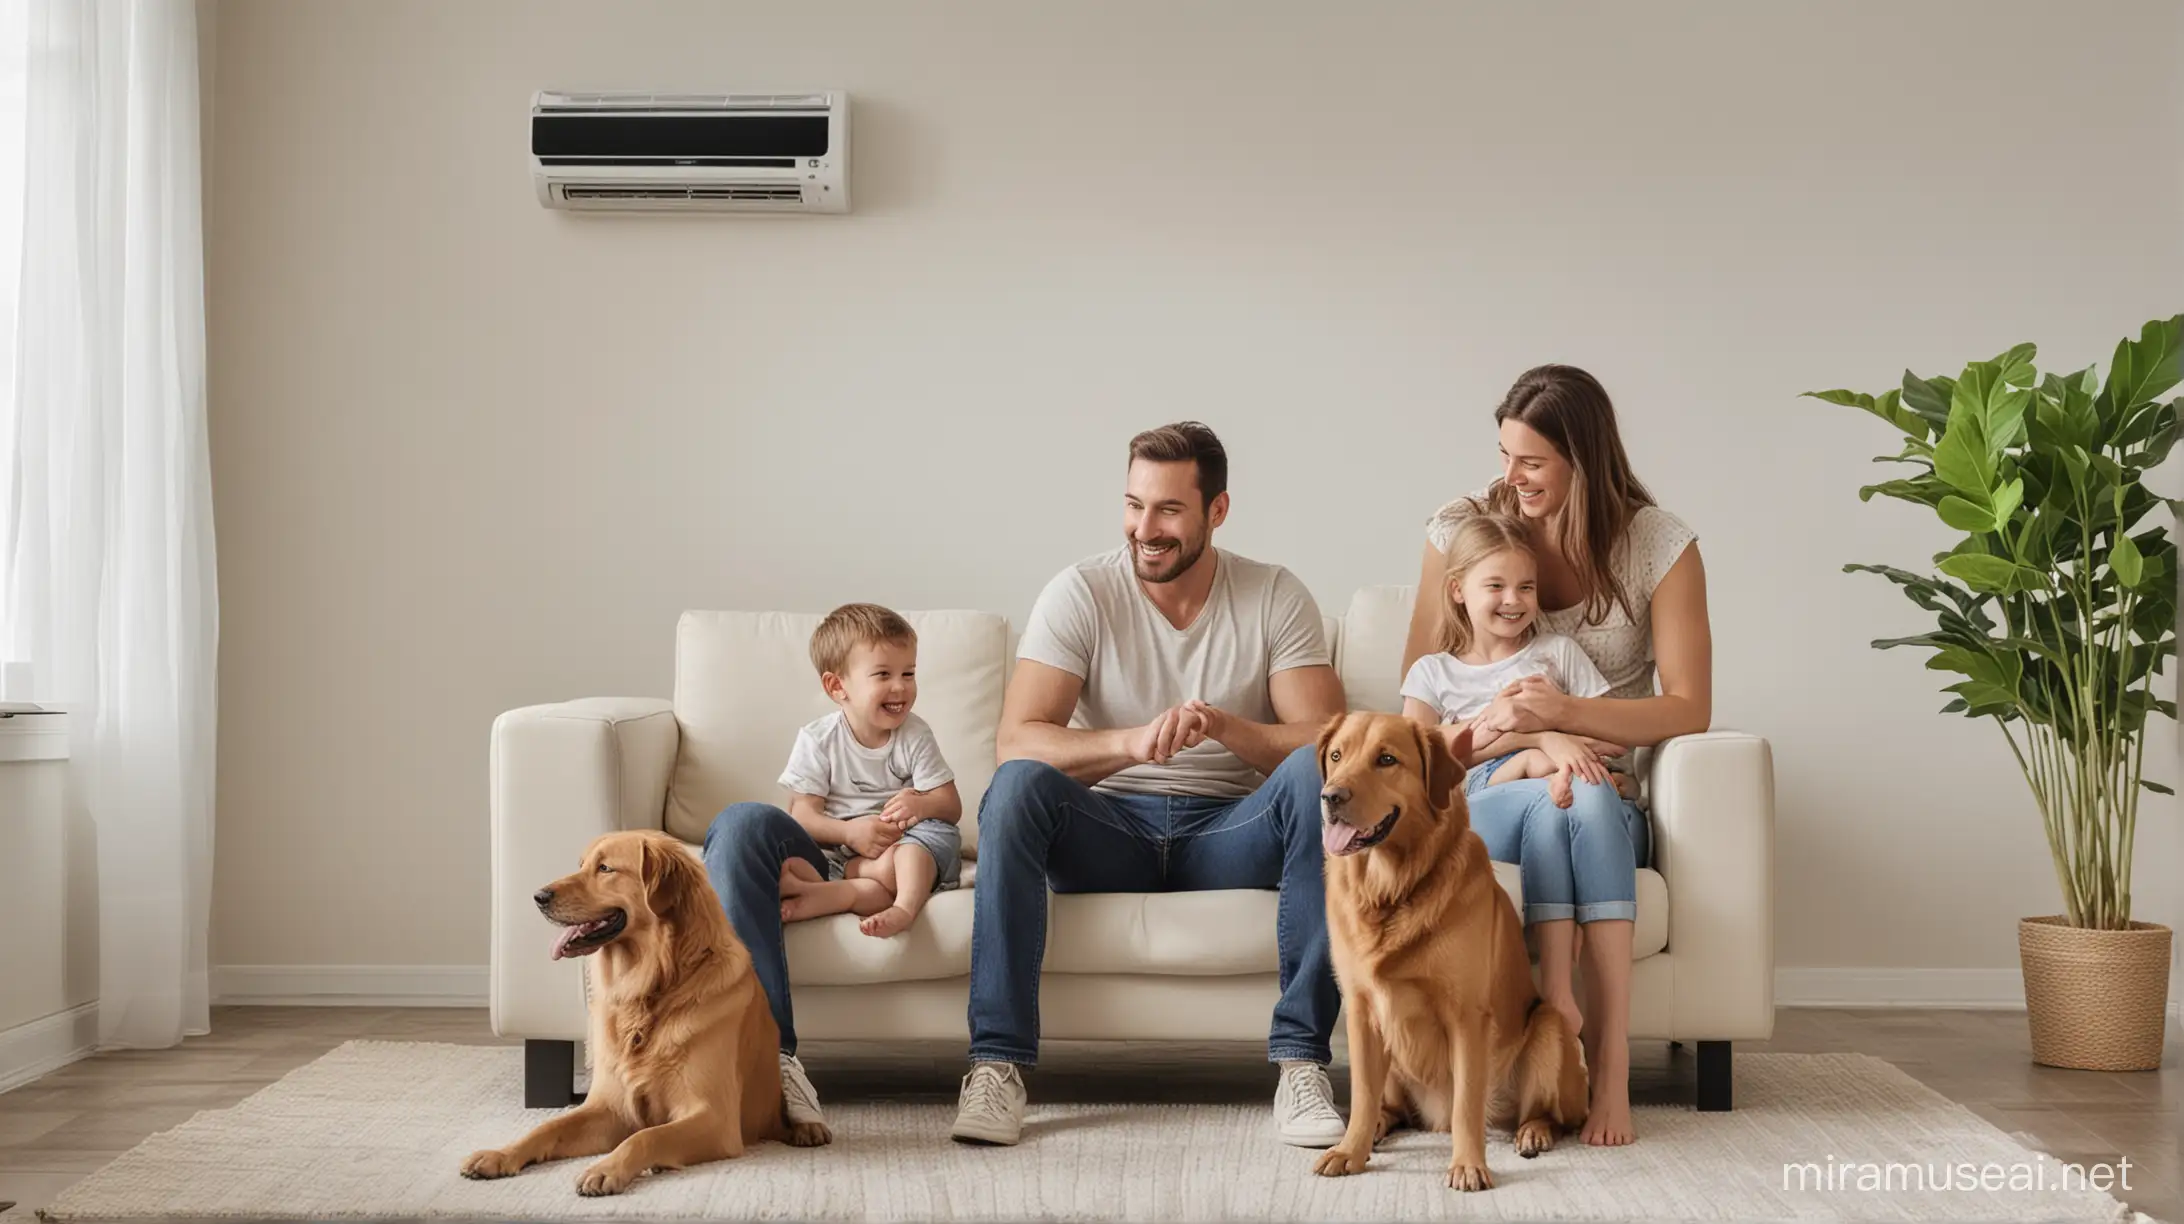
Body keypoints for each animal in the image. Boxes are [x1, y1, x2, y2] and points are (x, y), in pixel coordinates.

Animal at [460, 821, 825, 1197]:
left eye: (605, 869)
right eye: (581, 865)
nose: (539, 896)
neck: (650, 988)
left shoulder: (715, 1118)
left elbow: (646, 1136)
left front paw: (605, 1169)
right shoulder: (610, 1108)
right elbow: (549, 1126)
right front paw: (501, 1154)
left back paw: (808, 1128)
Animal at [1292, 712, 1589, 1189]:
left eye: (1386, 759)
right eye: (1336, 755)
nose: (1330, 796)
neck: (1392, 889)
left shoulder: (1466, 1016)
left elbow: (1467, 1102)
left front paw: (1468, 1165)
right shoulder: (1360, 1010)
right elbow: (1362, 1094)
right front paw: (1350, 1151)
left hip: (1550, 1025)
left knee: (1551, 1114)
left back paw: (1533, 1132)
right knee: (1389, 1106)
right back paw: (1377, 1127)